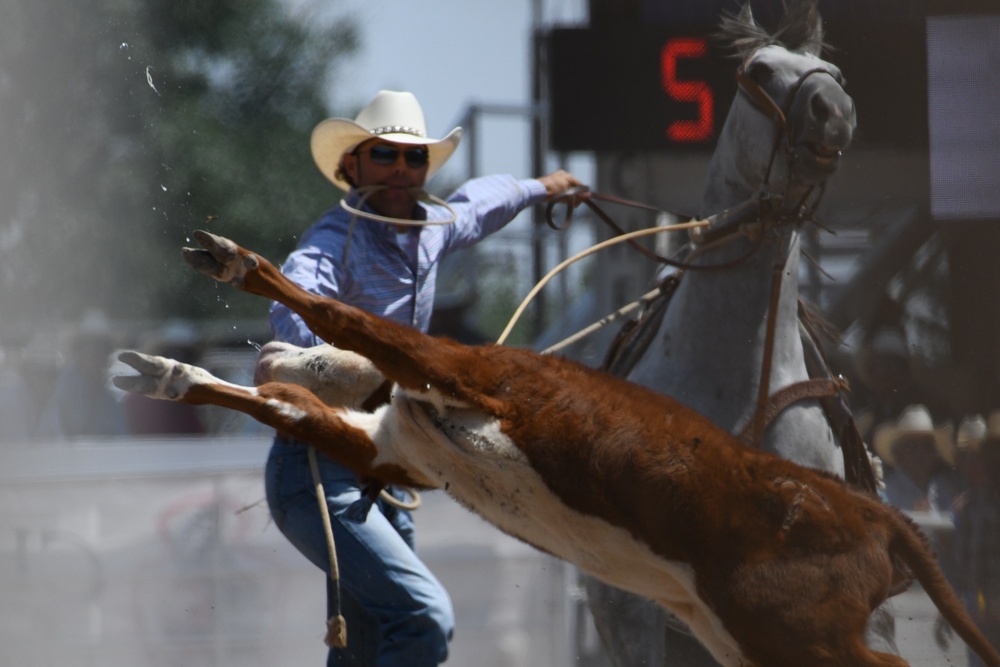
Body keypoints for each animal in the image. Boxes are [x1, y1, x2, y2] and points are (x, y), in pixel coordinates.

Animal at [117, 231, 1000, 667]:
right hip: (769, 641)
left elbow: (351, 321)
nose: (266, 350)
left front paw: (233, 261)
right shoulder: (394, 453)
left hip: (803, 633)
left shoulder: (465, 370)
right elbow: (288, 413)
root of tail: (876, 512)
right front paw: (166, 372)